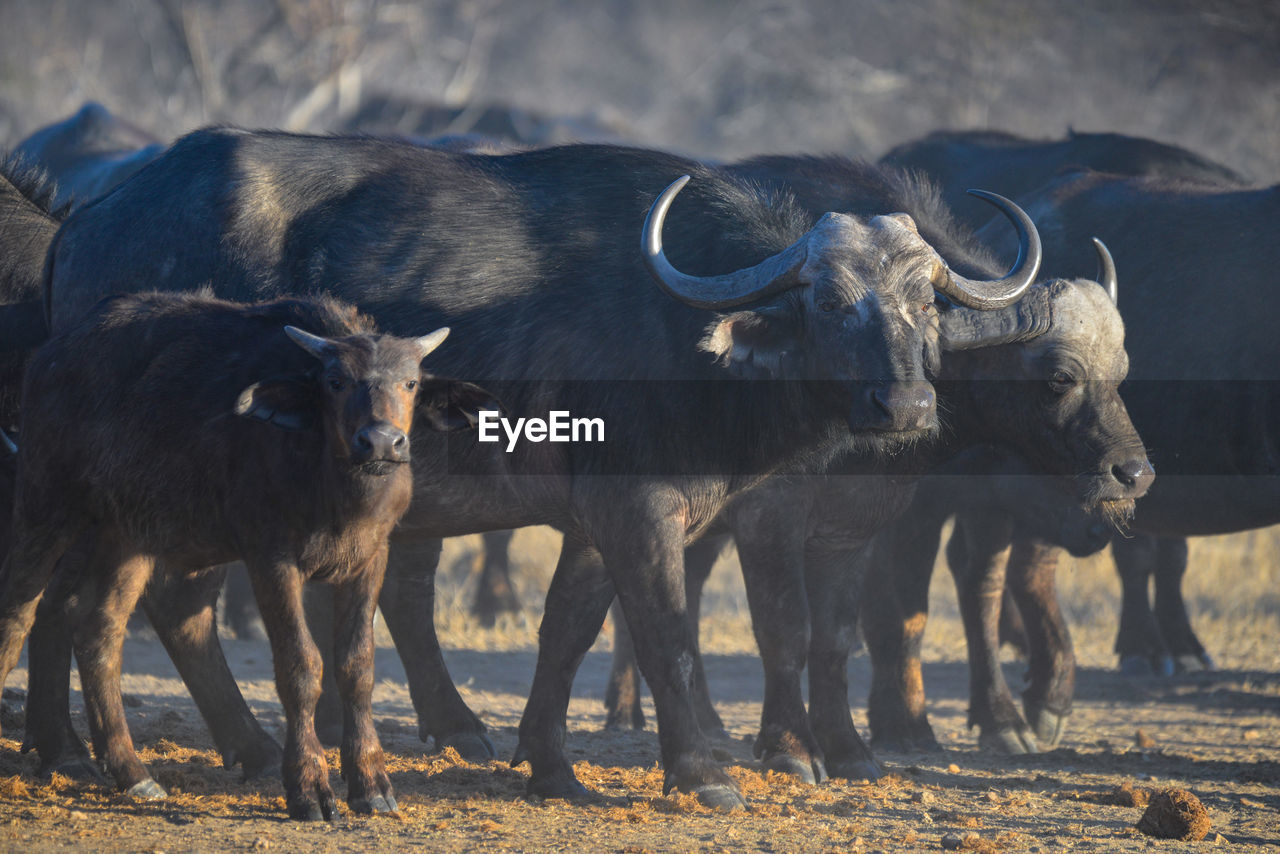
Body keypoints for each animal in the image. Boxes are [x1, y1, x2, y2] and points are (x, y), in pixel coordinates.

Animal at [30, 131, 1044, 809]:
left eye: (925, 302)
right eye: (830, 303)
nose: (904, 406)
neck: (681, 333)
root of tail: (85, 221)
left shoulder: (597, 522)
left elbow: (568, 633)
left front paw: (551, 766)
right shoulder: (643, 512)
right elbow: (668, 635)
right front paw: (702, 774)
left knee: (164, 607)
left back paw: (182, 750)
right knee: (111, 605)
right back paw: (117, 755)